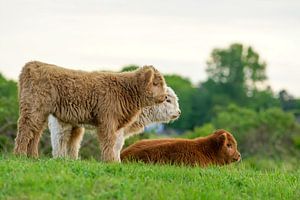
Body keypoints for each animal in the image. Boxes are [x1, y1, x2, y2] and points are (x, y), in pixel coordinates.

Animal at [15, 61, 168, 162]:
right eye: (156, 83)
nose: (165, 96)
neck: (125, 91)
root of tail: (32, 64)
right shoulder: (107, 120)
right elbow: (109, 140)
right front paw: (109, 161)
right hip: (33, 107)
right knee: (26, 129)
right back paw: (20, 155)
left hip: (41, 113)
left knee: (36, 132)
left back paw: (33, 156)